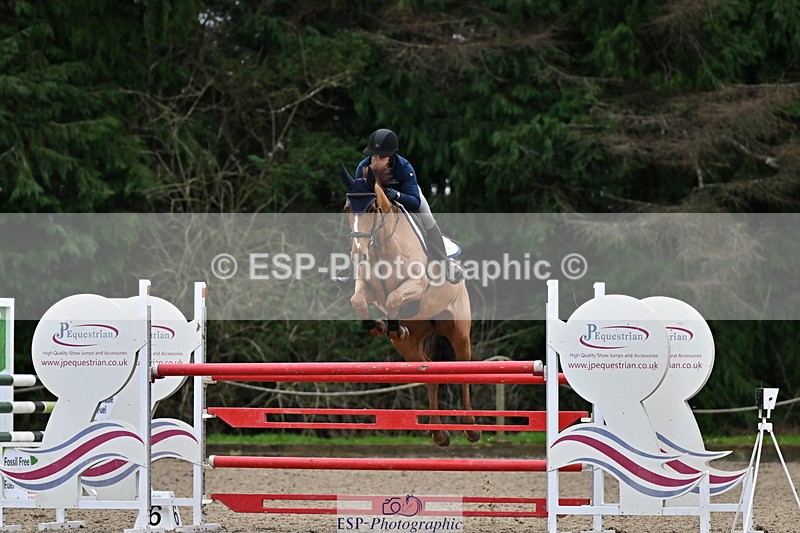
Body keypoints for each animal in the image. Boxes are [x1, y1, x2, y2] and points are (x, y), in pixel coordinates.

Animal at [340, 164, 479, 447]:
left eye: (372, 207)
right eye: (347, 208)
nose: (358, 255)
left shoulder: (416, 284)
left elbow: (394, 297)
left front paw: (391, 325)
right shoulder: (366, 288)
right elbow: (359, 300)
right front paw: (379, 326)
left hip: (458, 331)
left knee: (463, 369)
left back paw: (471, 427)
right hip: (412, 344)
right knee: (428, 372)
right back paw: (439, 433)